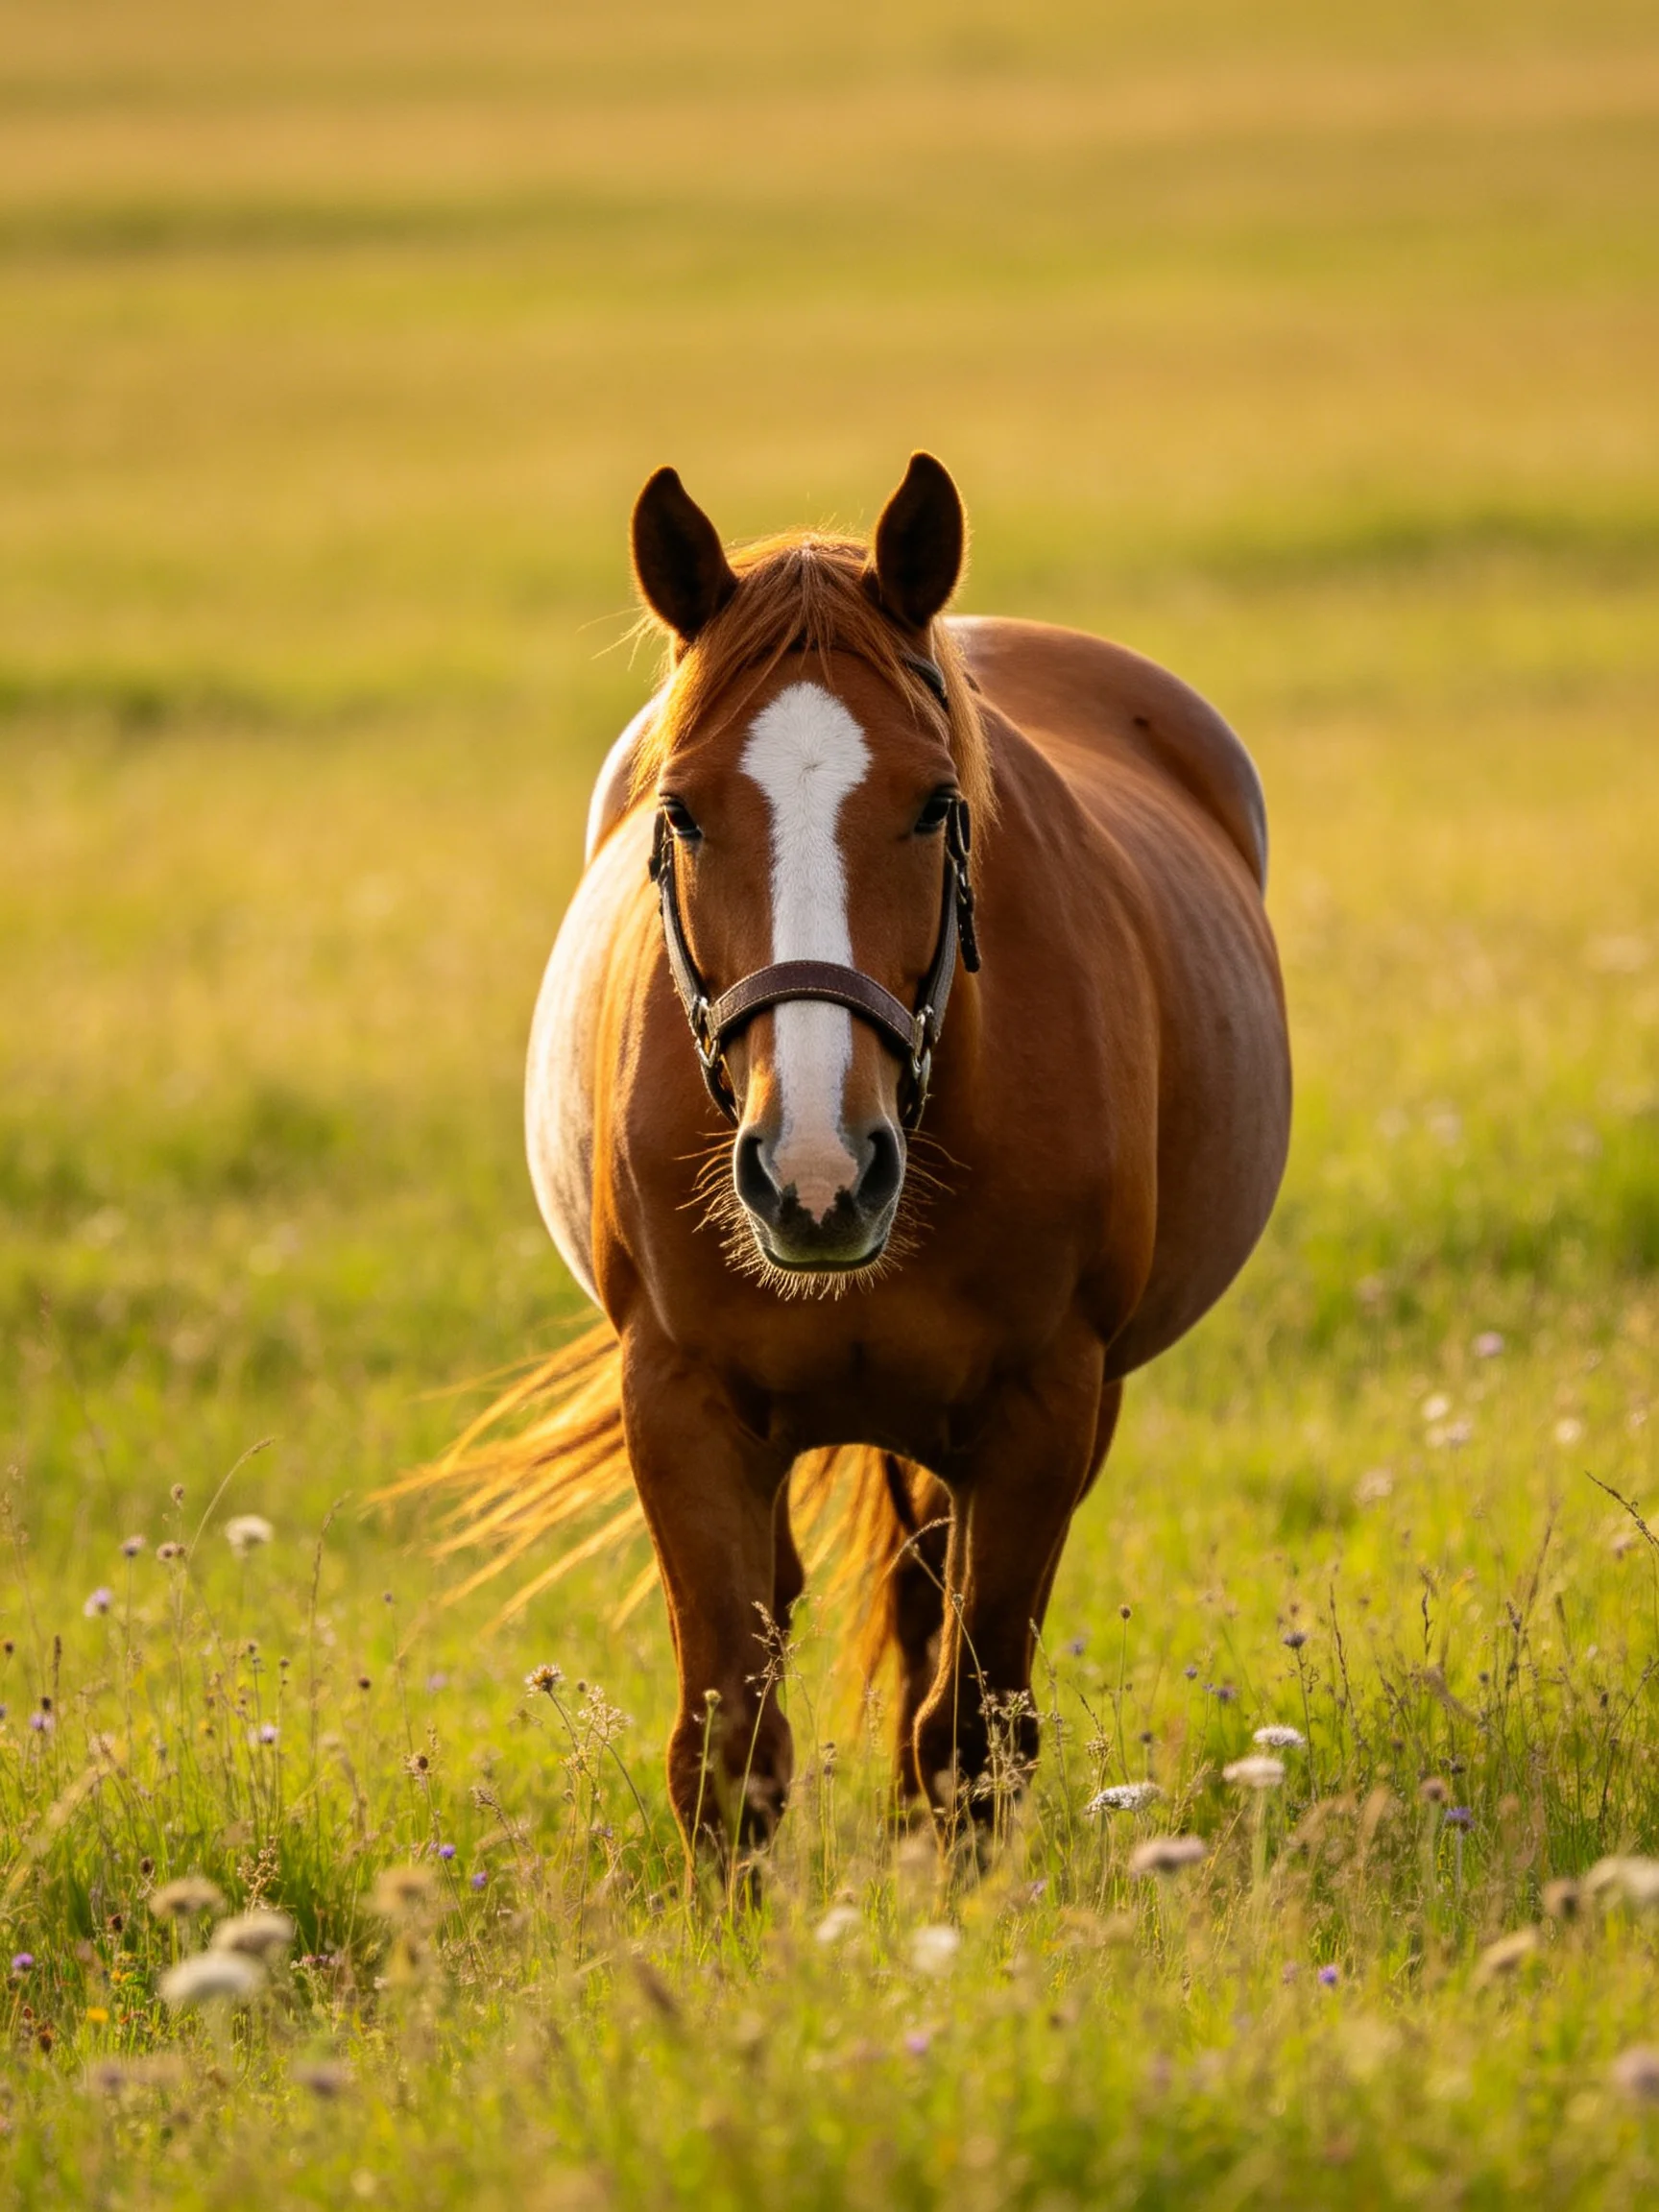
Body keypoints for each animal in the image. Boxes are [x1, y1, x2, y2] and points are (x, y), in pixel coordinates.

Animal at [425, 453, 1290, 1861]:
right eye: (682, 810)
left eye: (936, 804)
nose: (817, 1173)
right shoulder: (681, 1405)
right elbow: (727, 1748)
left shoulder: (1046, 1408)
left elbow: (972, 1737)